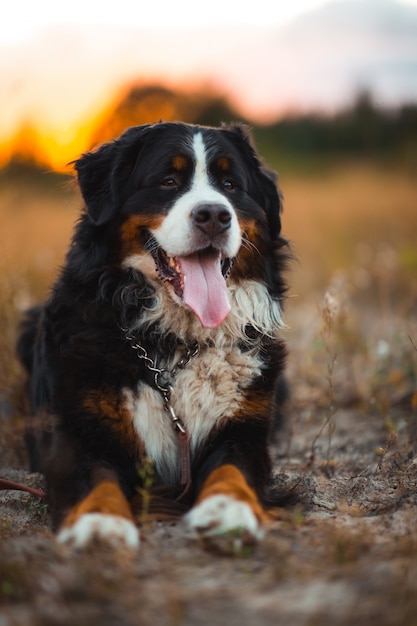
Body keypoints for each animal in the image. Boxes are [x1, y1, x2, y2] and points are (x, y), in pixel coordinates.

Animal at [17, 122, 290, 552]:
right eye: (168, 181)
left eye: (230, 184)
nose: (214, 215)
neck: (173, 341)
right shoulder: (76, 433)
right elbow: (97, 480)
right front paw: (100, 524)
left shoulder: (242, 430)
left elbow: (232, 471)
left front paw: (228, 512)